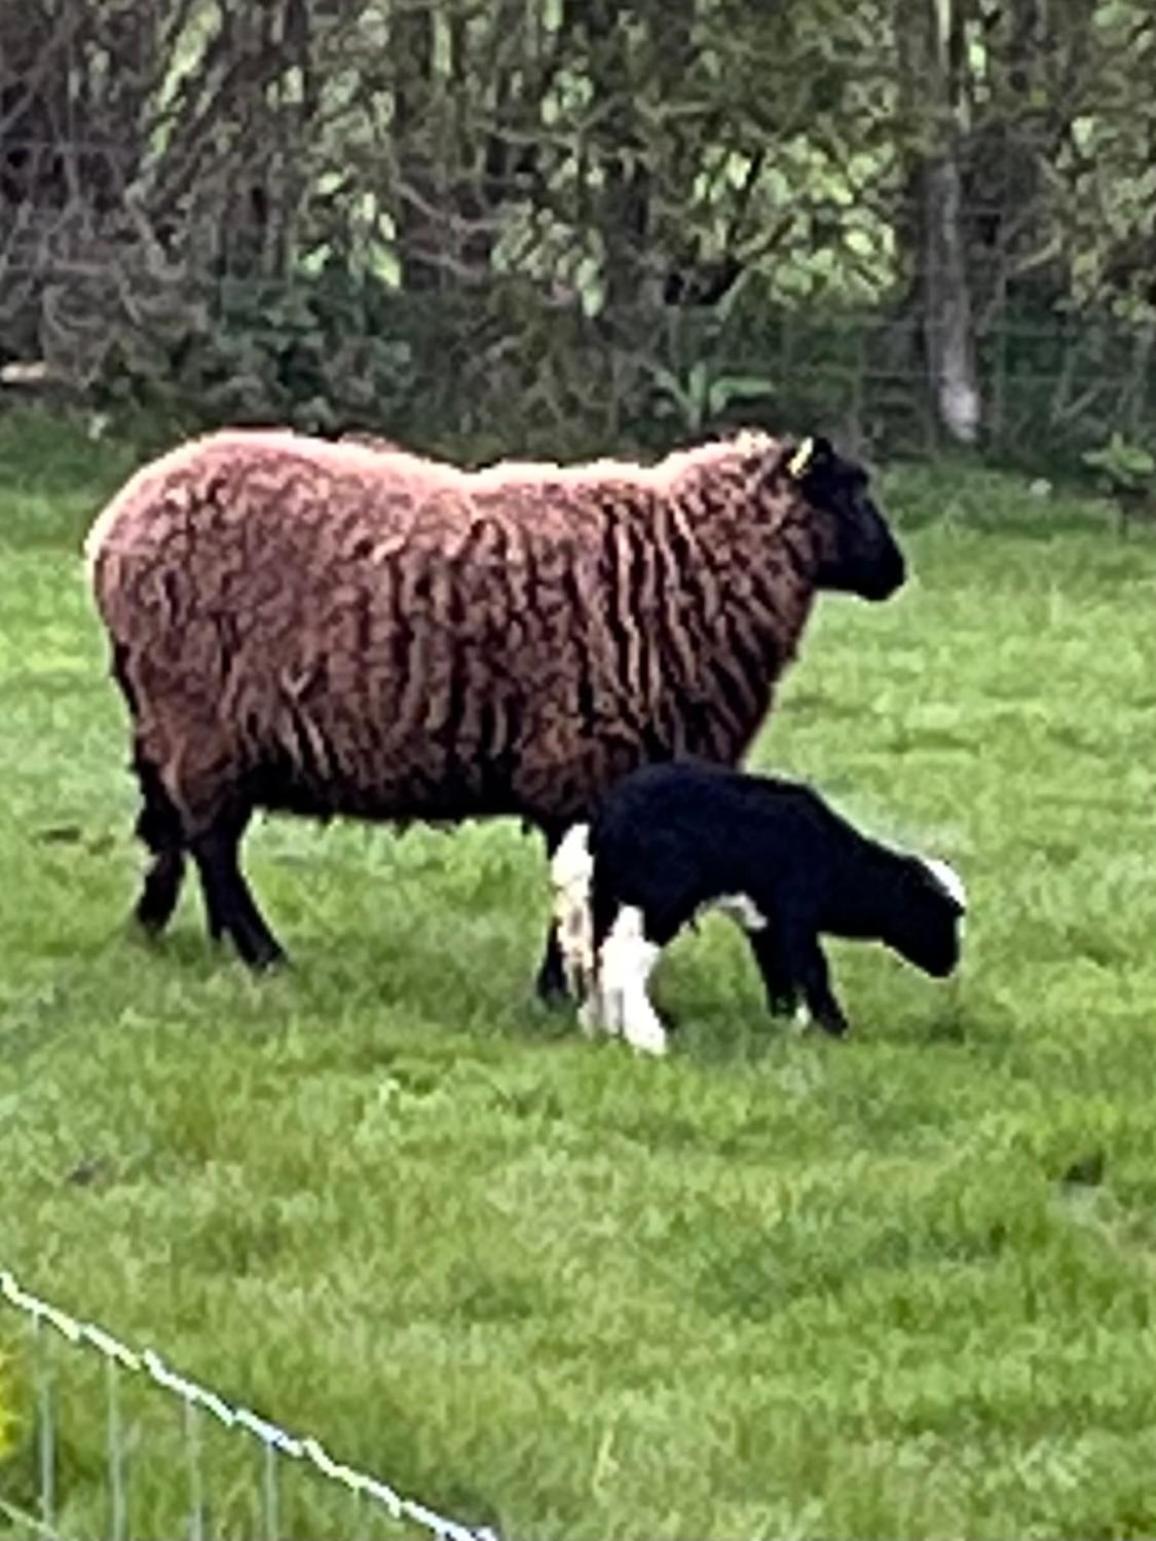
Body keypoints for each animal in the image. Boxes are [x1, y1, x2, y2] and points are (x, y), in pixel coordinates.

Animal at [85, 428, 912, 998]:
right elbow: (577, 882)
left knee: (178, 831)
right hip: (200, 715)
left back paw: (164, 930)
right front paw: (557, 989)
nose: (898, 572)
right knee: (213, 842)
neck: (684, 561)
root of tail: (115, 528)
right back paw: (263, 953)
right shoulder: (583, 759)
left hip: (167, 719)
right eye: (850, 493)